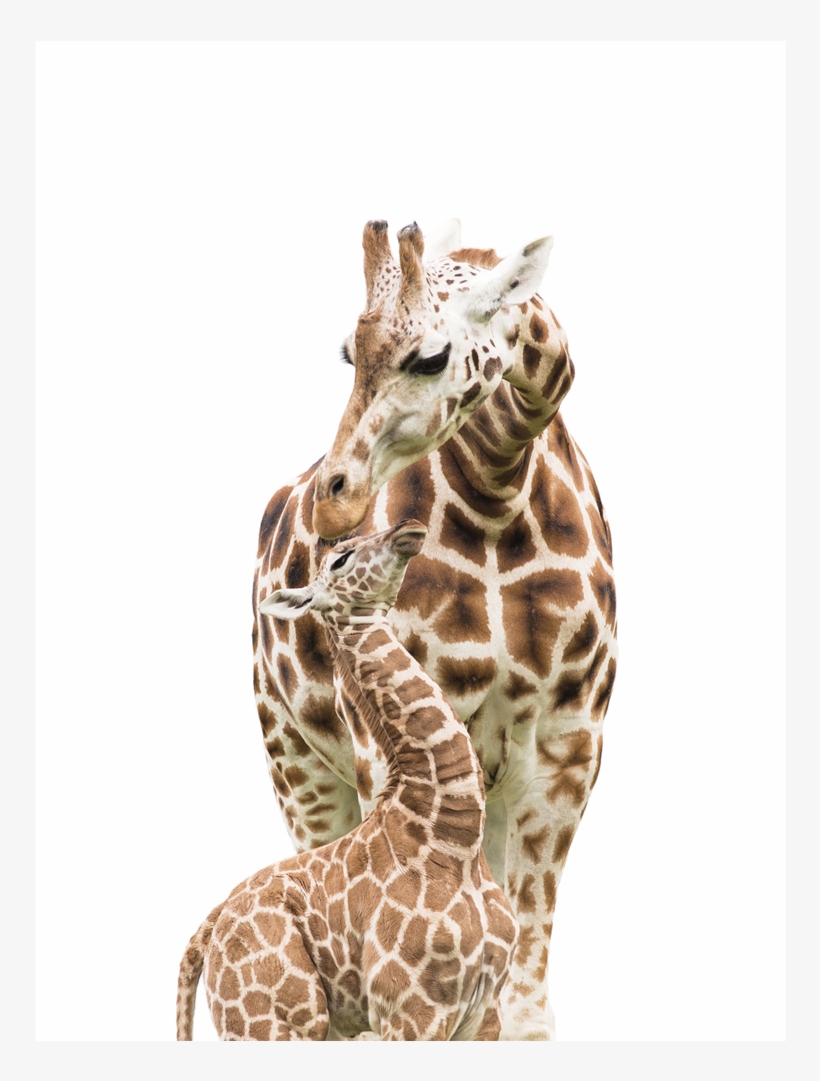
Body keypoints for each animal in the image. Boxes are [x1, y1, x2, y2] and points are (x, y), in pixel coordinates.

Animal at [178, 521, 517, 1041]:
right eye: (340, 560)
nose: (409, 529)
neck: (453, 840)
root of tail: (208, 927)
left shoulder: (485, 1013)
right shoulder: (409, 1008)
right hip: (277, 1019)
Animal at [253, 219, 617, 1039]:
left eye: (430, 357)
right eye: (348, 351)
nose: (335, 499)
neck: (499, 493)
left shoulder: (568, 747)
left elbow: (519, 1005)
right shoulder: (379, 742)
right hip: (297, 766)